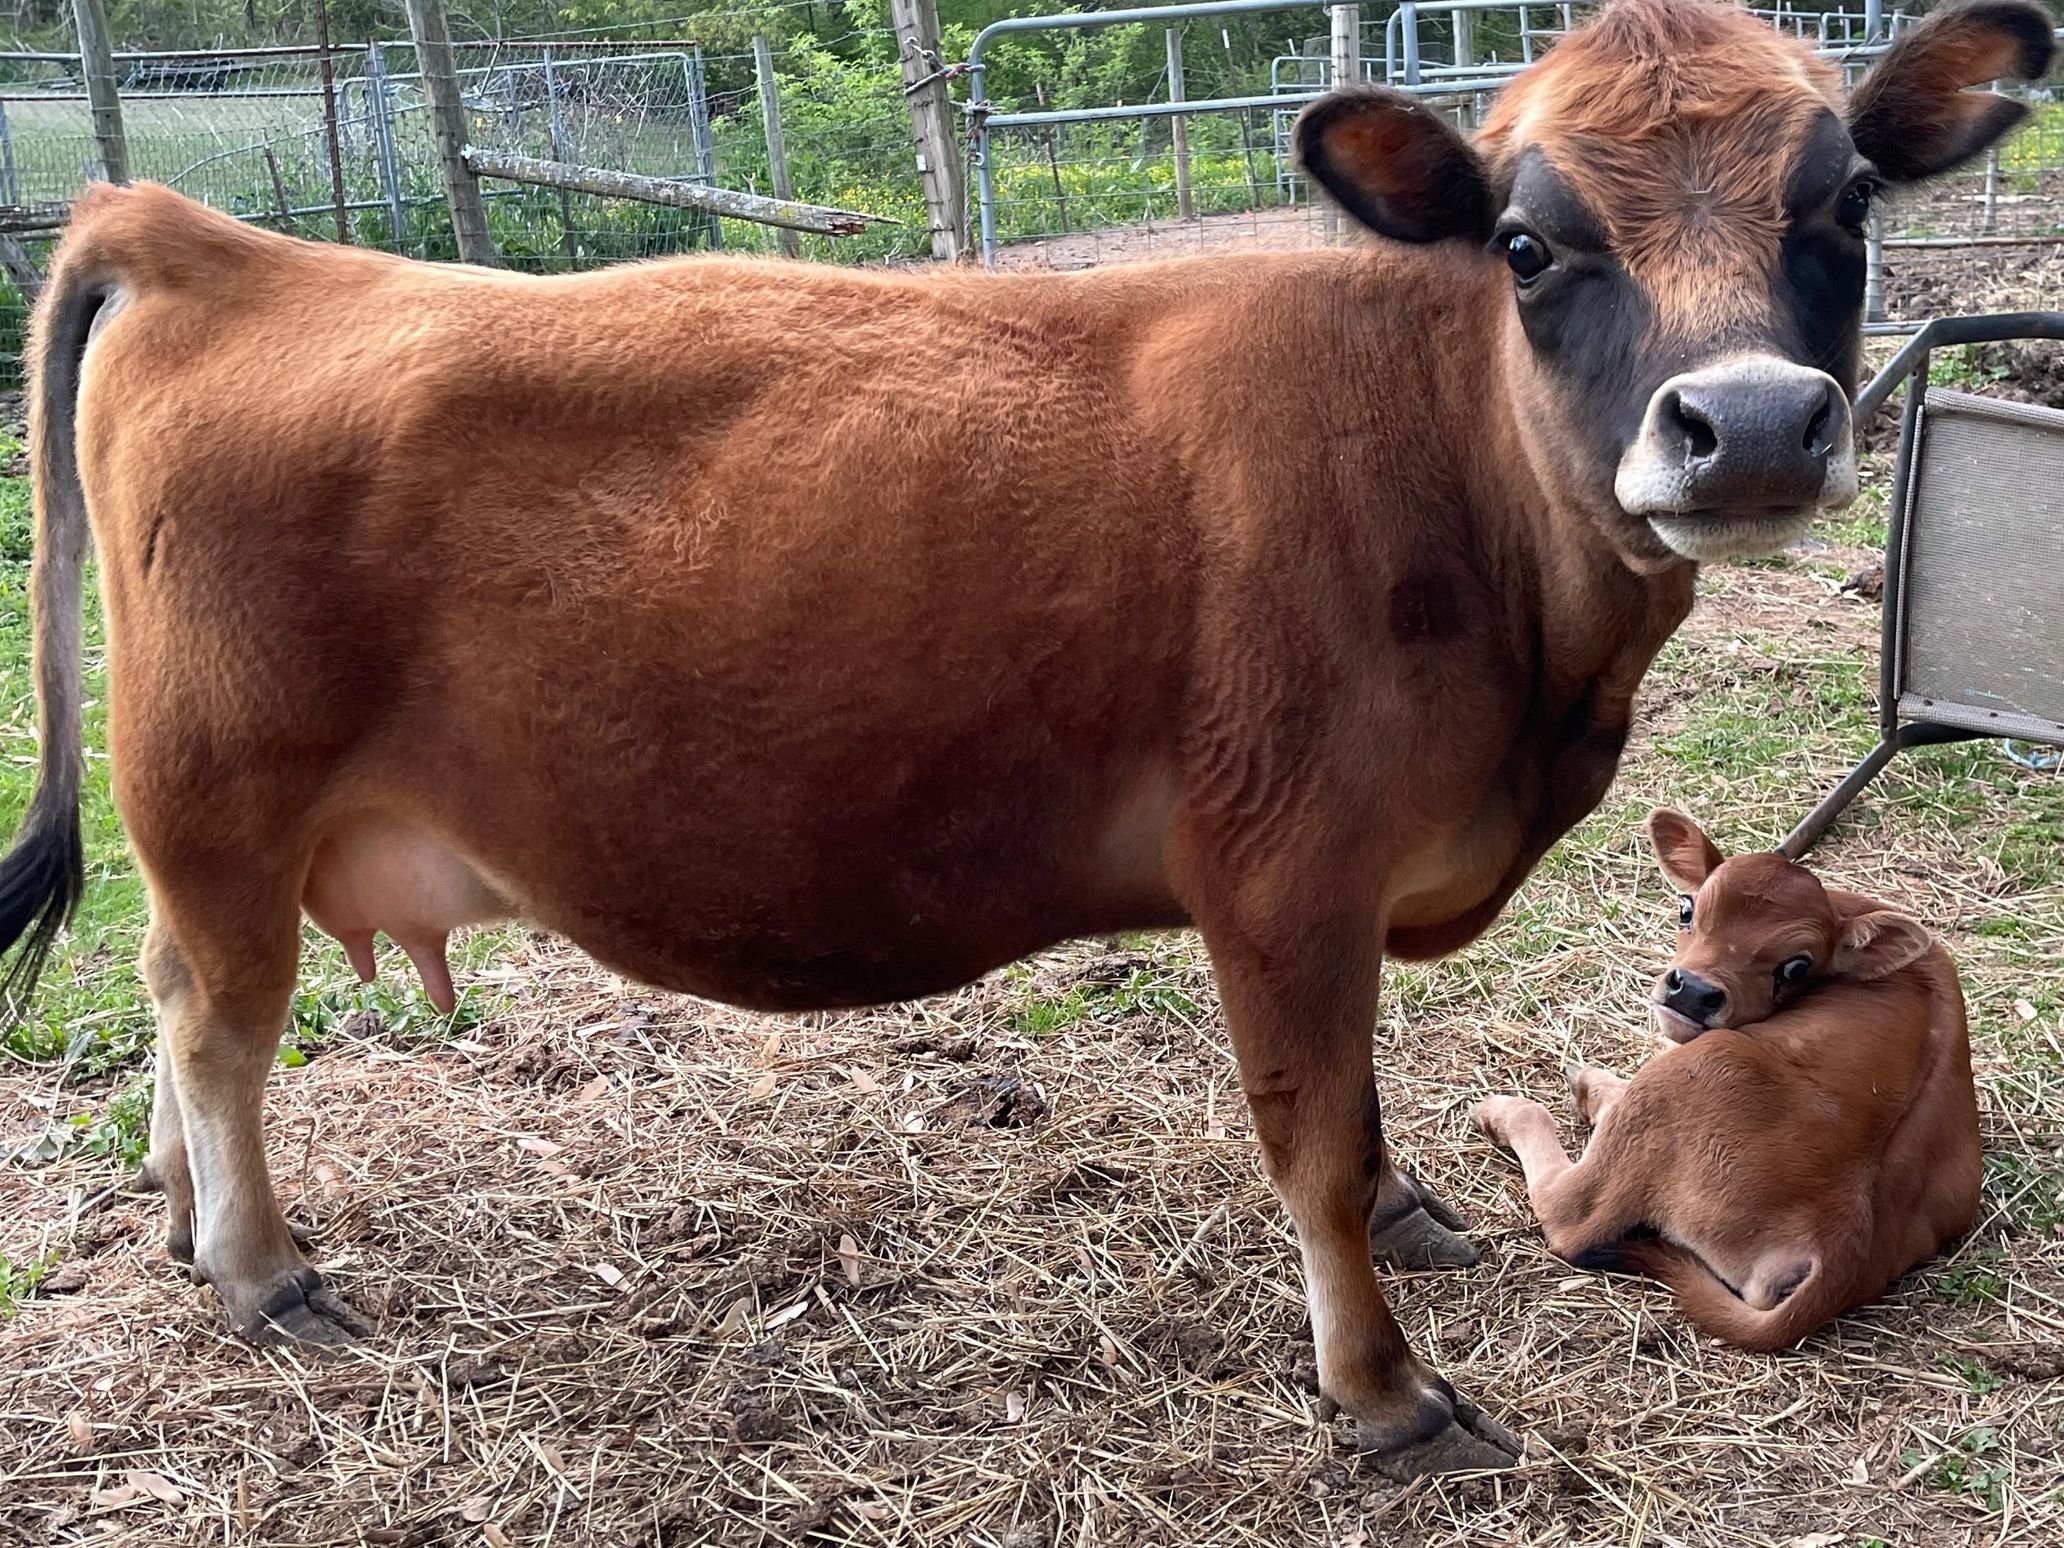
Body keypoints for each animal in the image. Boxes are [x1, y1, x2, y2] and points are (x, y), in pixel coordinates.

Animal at [1475, 809, 1981, 1351]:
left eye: (1796, 967)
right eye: (1686, 909)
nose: (1693, 992)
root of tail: (1847, 1245)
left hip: (1703, 1067)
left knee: (1570, 1210)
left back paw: (1514, 1109)